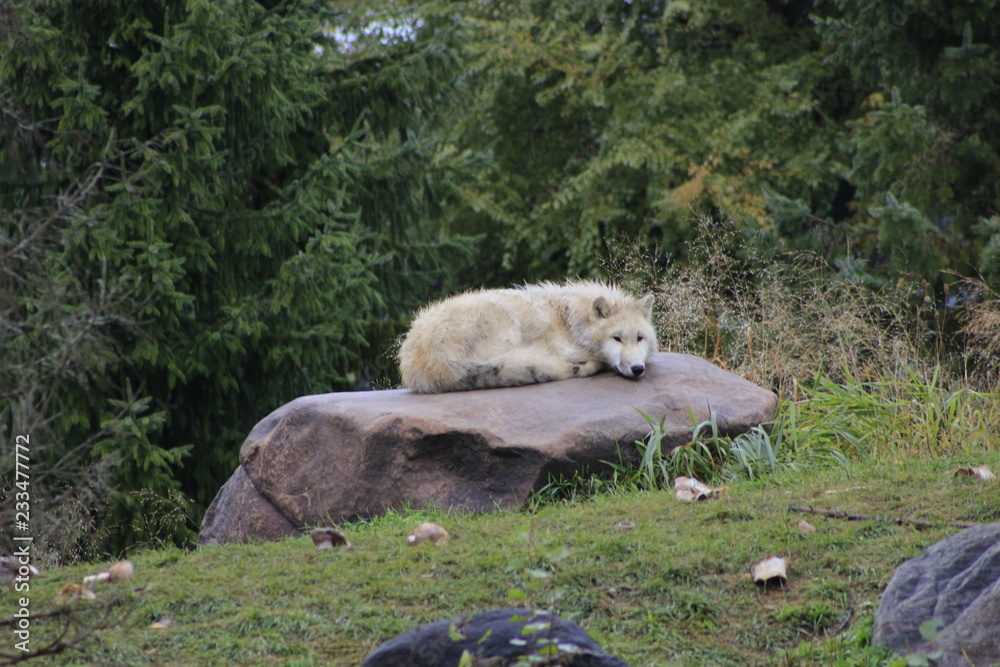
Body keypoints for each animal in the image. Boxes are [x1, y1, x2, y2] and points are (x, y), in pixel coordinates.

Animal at [398, 281, 658, 393]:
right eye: (617, 338)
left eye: (639, 338)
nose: (638, 369)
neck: (570, 319)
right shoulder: (563, 347)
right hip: (506, 326)